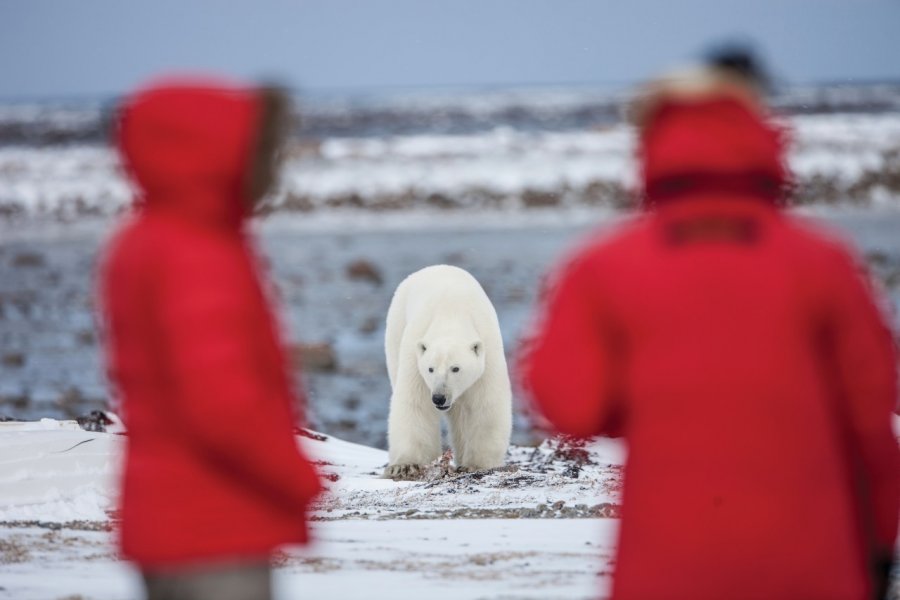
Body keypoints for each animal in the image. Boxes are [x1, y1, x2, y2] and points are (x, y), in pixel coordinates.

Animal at [382, 264, 512, 480]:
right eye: (430, 368)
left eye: (456, 368)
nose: (439, 397)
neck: (451, 313)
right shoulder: (414, 355)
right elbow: (415, 404)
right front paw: (404, 466)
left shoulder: (488, 353)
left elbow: (485, 405)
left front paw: (476, 465)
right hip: (396, 330)